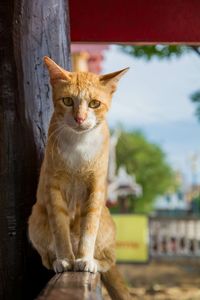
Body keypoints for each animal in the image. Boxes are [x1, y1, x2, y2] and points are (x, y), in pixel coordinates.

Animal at [28, 56, 131, 300]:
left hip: (106, 219)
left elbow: (88, 227)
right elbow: (60, 227)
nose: (80, 117)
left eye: (94, 103)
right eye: (67, 101)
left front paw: (85, 259)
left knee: (109, 259)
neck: (78, 145)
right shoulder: (53, 186)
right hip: (35, 219)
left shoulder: (96, 189)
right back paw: (59, 260)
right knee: (46, 257)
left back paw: (93, 260)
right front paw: (65, 259)